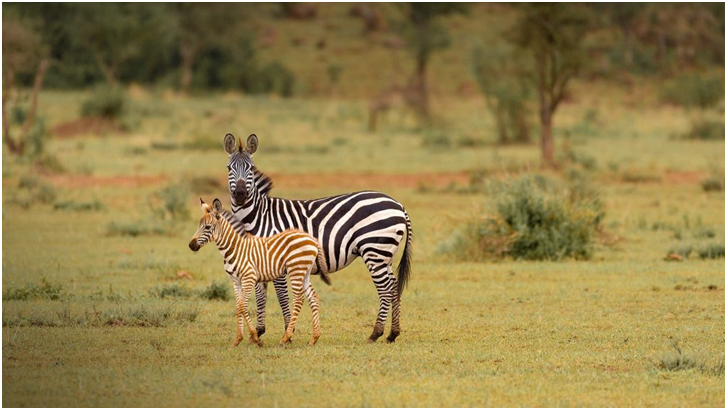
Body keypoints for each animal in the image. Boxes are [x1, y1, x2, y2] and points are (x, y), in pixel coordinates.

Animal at [188, 197, 331, 347]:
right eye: (199, 225)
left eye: (207, 227)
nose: (191, 245)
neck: (235, 248)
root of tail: (312, 239)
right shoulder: (236, 281)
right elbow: (238, 307)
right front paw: (238, 339)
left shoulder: (249, 278)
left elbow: (243, 306)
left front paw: (255, 337)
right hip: (305, 272)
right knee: (312, 296)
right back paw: (314, 337)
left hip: (295, 270)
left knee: (299, 298)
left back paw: (286, 337)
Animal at [222, 133, 412, 343]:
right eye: (229, 168)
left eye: (251, 169)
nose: (240, 195)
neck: (259, 216)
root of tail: (398, 204)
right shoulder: (257, 259)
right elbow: (260, 295)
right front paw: (258, 331)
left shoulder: (276, 261)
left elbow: (281, 296)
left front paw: (287, 333)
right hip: (385, 253)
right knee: (393, 286)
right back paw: (392, 333)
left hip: (374, 250)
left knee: (385, 288)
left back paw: (376, 333)